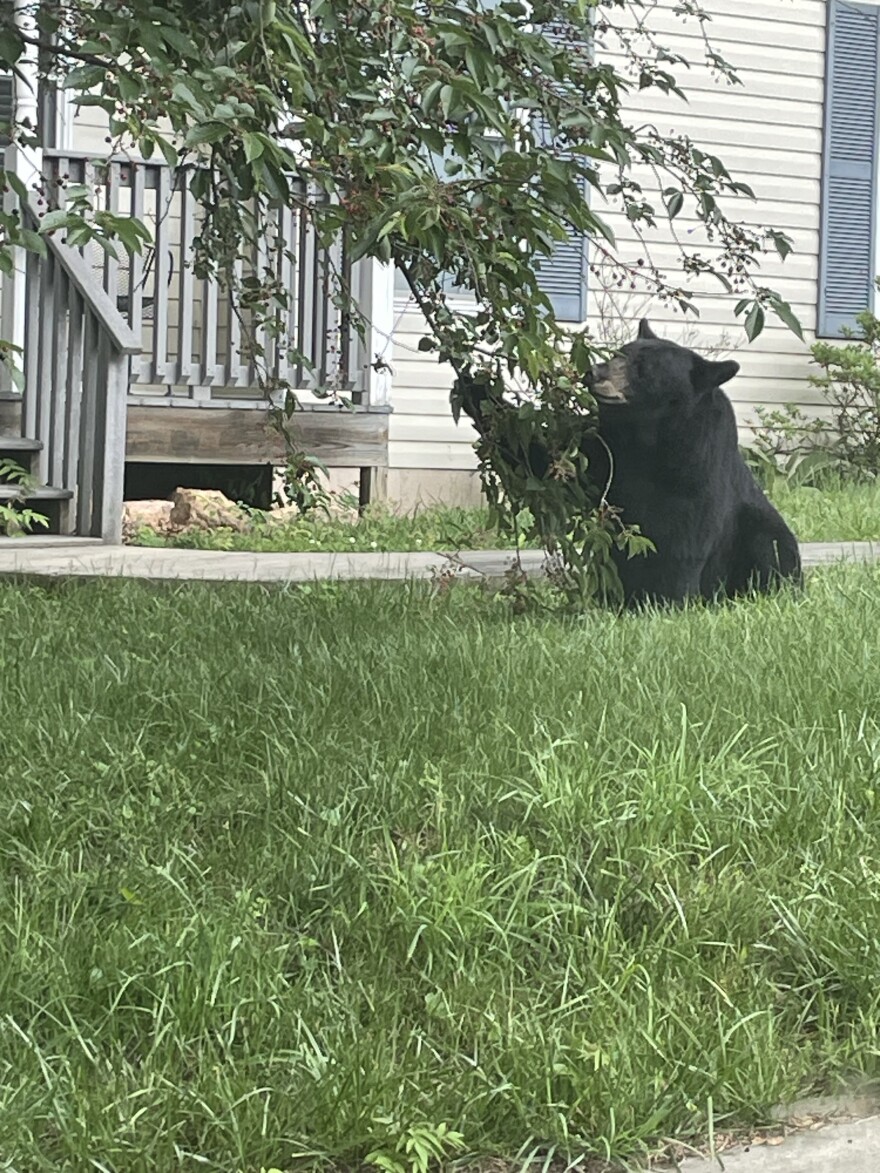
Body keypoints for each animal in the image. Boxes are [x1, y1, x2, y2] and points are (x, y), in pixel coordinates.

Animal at [457, 321, 802, 609]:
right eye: (617, 354)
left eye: (643, 369)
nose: (594, 372)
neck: (647, 435)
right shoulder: (607, 449)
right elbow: (545, 462)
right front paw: (474, 386)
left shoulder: (699, 462)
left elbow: (687, 537)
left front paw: (669, 603)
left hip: (761, 531)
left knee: (771, 547)